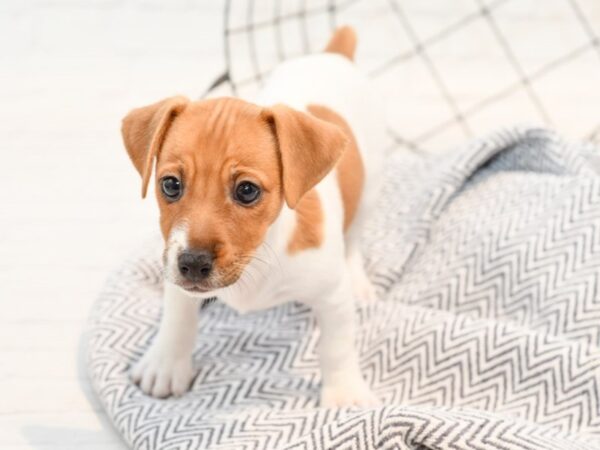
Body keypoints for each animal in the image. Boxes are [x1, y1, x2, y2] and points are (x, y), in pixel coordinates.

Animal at [122, 27, 384, 408]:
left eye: (247, 191)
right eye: (170, 185)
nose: (193, 263)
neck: (259, 256)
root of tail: (334, 54)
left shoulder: (332, 295)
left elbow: (336, 346)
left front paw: (345, 393)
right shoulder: (175, 271)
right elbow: (177, 317)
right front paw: (165, 363)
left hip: (368, 191)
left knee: (353, 241)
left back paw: (359, 281)